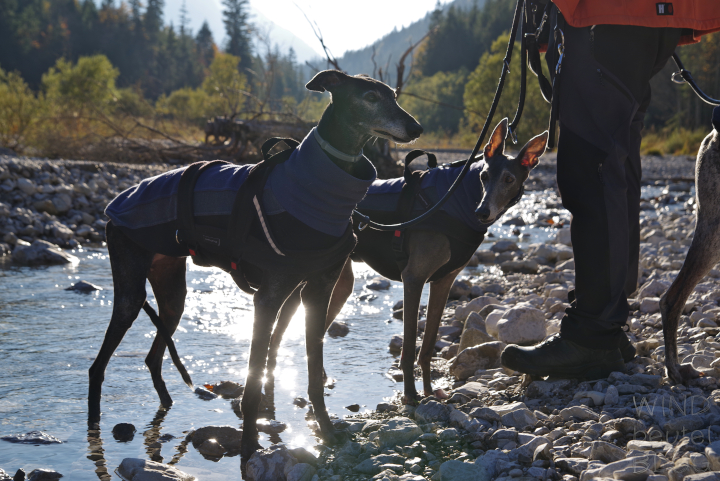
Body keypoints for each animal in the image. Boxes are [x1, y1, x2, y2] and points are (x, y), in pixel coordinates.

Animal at [87, 69, 423, 470]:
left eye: (394, 96)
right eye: (370, 97)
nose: (416, 127)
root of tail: (115, 204)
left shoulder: (318, 291)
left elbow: (312, 374)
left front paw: (326, 433)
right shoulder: (268, 297)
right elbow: (251, 385)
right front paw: (249, 449)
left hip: (172, 296)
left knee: (153, 356)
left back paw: (168, 404)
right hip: (130, 291)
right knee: (97, 366)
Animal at [267, 119, 548, 404]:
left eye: (509, 179)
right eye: (484, 176)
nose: (482, 212)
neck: (457, 198)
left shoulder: (443, 282)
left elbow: (428, 344)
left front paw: (429, 391)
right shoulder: (413, 278)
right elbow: (410, 345)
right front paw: (412, 395)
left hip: (339, 282)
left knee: (315, 331)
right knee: (284, 325)